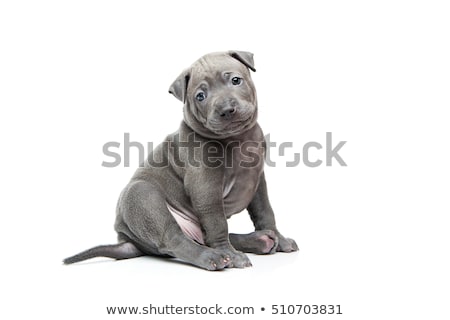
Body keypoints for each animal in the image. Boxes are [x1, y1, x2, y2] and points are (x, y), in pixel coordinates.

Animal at [62, 52, 296, 270]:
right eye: (200, 96)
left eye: (236, 80)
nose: (226, 110)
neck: (237, 139)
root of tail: (128, 240)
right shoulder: (206, 188)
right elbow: (217, 223)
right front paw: (232, 256)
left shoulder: (257, 181)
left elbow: (265, 212)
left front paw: (280, 239)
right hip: (142, 196)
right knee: (176, 239)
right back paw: (214, 256)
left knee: (204, 237)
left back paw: (260, 240)